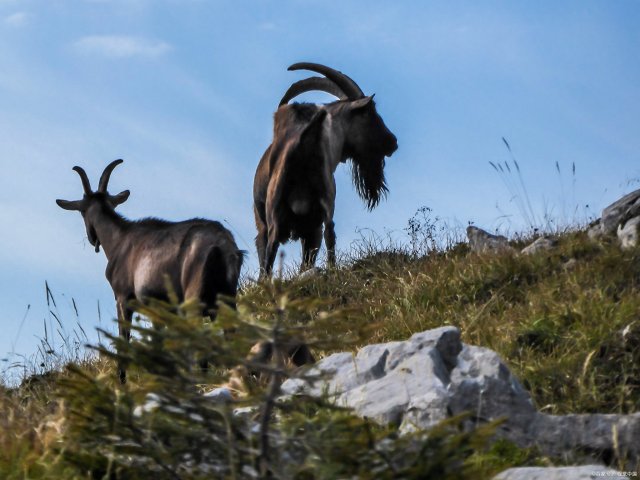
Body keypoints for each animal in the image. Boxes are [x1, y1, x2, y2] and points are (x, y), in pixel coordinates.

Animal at [57, 161, 244, 382]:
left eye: (82, 211)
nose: (92, 237)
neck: (119, 240)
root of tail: (221, 246)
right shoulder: (159, 310)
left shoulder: (123, 298)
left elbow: (124, 341)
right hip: (227, 299)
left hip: (193, 297)